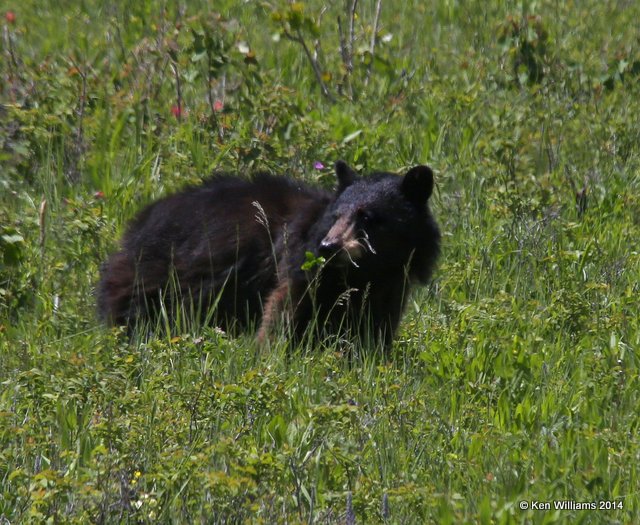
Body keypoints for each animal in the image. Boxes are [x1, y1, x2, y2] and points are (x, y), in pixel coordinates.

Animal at [97, 162, 440, 346]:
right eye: (336, 215)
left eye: (367, 216)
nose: (328, 248)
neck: (369, 271)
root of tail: (136, 223)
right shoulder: (300, 267)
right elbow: (283, 311)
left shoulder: (390, 287)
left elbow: (374, 327)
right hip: (155, 275)